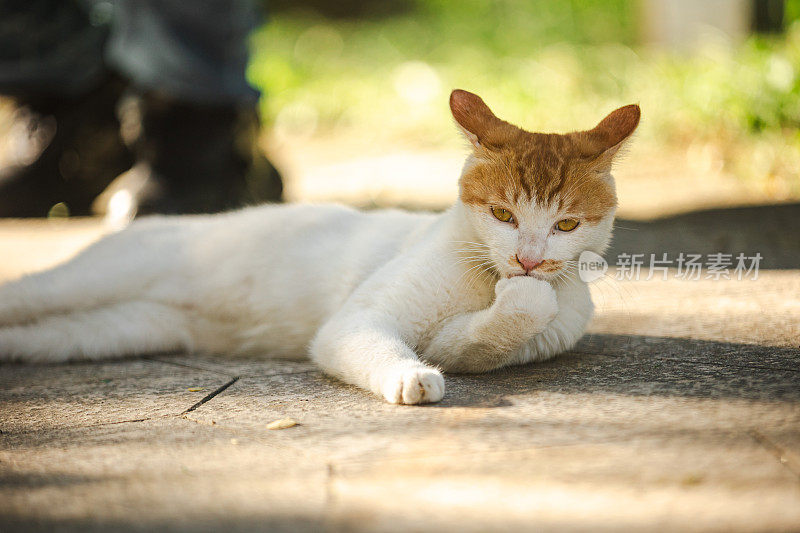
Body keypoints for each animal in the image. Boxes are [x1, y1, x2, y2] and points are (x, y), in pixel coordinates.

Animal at [0, 90, 640, 404]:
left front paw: (524, 295)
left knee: (42, 336)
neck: (485, 276)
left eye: (565, 225)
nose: (529, 258)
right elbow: (376, 341)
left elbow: (503, 322)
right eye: (503, 214)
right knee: (27, 293)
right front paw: (410, 378)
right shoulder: (358, 320)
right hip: (88, 281)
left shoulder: (467, 341)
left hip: (108, 330)